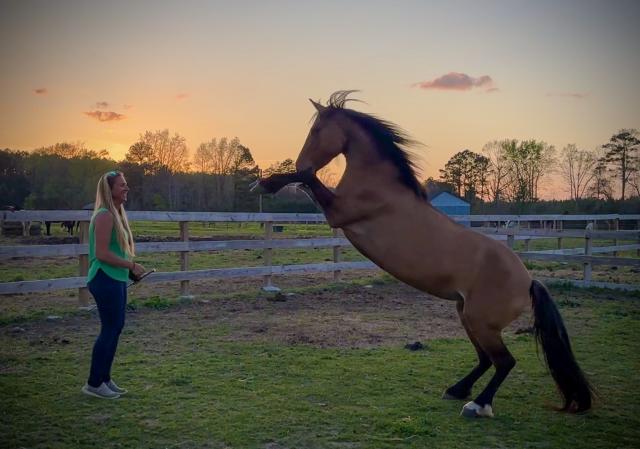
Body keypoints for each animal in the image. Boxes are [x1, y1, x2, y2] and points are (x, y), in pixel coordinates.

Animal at [253, 91, 594, 418]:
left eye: (316, 130)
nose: (302, 161)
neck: (380, 185)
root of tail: (528, 280)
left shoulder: (338, 213)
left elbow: (309, 180)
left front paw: (264, 184)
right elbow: (308, 182)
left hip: (481, 322)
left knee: (504, 362)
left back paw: (478, 405)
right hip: (466, 314)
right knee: (486, 359)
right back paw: (457, 390)